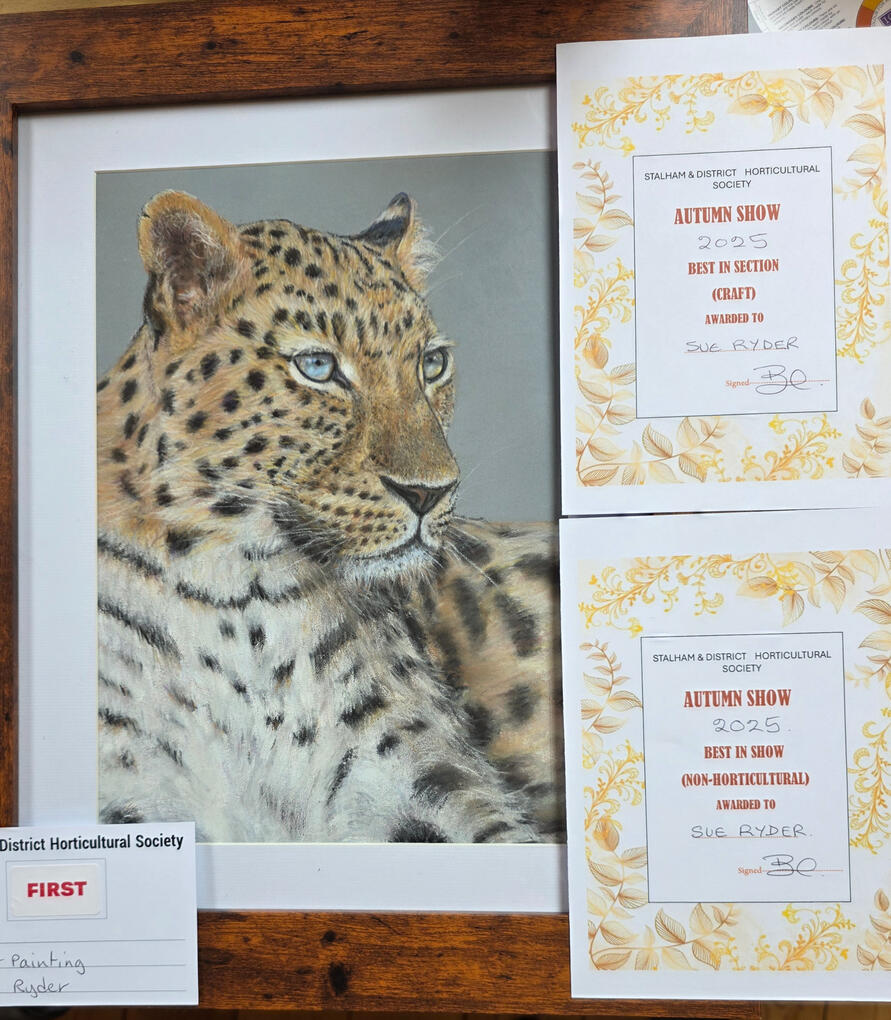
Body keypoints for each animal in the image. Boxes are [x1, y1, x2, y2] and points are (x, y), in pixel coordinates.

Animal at [96, 189, 564, 843]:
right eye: (318, 367)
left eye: (432, 364)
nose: (430, 493)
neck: (236, 596)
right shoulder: (133, 786)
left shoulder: (439, 782)